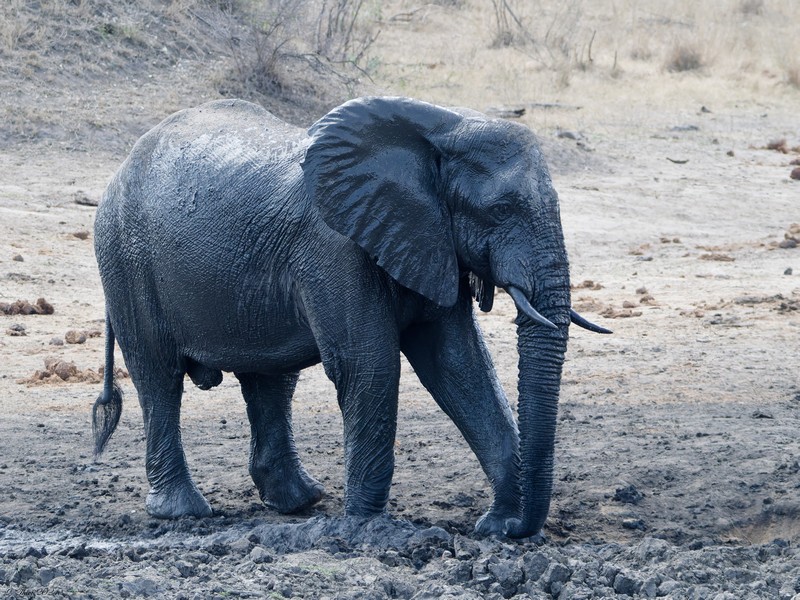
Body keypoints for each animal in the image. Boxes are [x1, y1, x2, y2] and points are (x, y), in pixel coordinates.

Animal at [92, 95, 608, 540]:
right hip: (125, 259)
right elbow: (370, 366)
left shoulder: (429, 239)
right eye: (500, 209)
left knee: (269, 379)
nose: (518, 527)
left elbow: (459, 366)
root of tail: (120, 168)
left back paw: (298, 502)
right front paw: (365, 529)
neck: (443, 130)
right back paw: (183, 512)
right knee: (159, 377)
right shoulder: (334, 248)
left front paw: (496, 526)